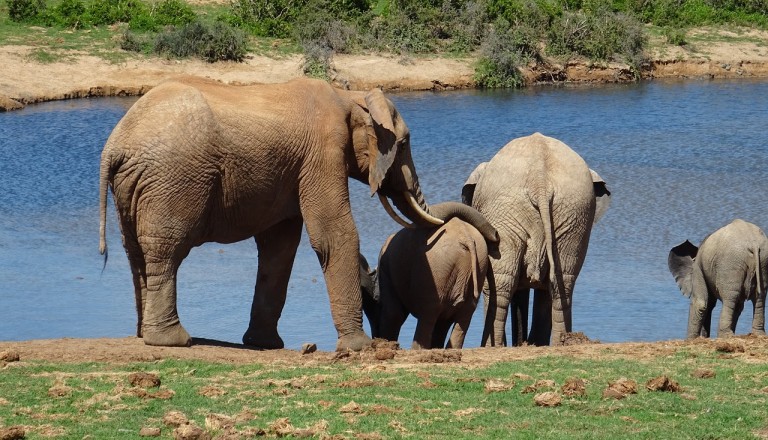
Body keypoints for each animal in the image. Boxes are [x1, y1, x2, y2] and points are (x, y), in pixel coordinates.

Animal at [99, 75, 498, 350]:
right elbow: (334, 233)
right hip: (172, 179)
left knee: (136, 252)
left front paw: (264, 345)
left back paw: (143, 336)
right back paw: (172, 340)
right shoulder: (324, 152)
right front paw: (358, 348)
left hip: (135, 185)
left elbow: (280, 247)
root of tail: (115, 145)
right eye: (404, 143)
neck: (349, 96)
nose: (494, 241)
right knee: (167, 249)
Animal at [462, 132, 612, 346]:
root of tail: (541, 181)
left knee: (501, 283)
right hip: (573, 214)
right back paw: (560, 343)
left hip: (510, 213)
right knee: (561, 282)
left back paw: (492, 347)